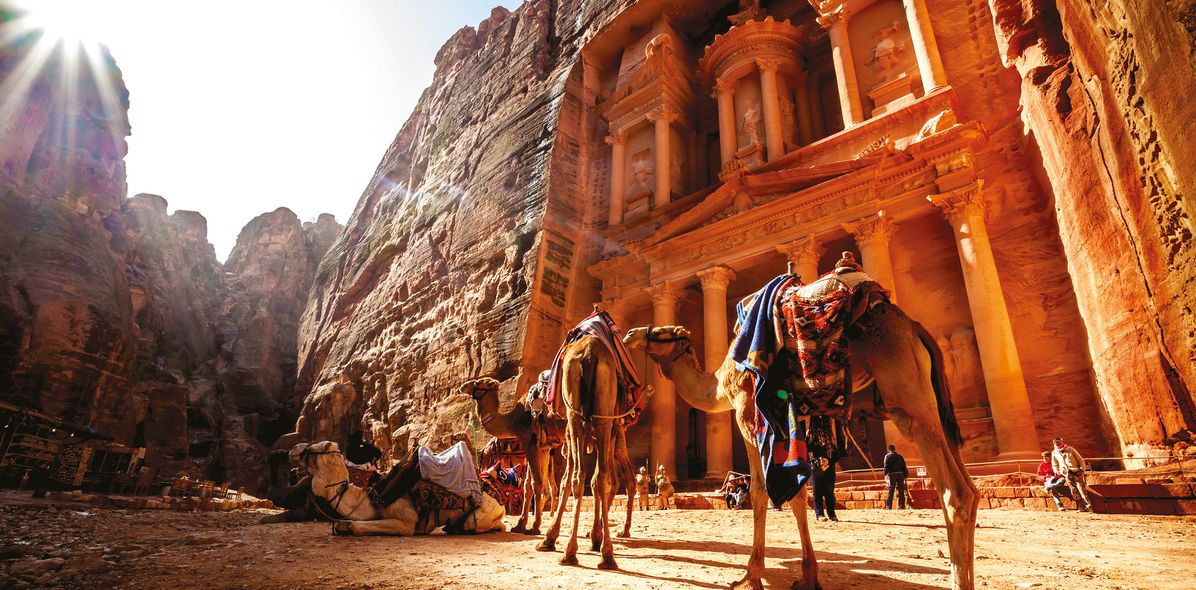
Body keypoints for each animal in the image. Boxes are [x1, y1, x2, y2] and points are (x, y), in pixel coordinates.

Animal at [296, 440, 511, 536]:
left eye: (315, 448)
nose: (294, 449)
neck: (374, 497)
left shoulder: (407, 522)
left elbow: (356, 526)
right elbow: (344, 523)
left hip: (482, 515)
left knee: (483, 525)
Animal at [621, 275, 975, 588]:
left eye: (663, 332)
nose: (630, 333)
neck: (721, 382)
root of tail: (914, 329)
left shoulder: (747, 412)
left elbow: (760, 489)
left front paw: (751, 575)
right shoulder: (790, 420)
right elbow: (799, 492)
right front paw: (808, 575)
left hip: (904, 388)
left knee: (954, 492)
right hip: (933, 400)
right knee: (970, 489)